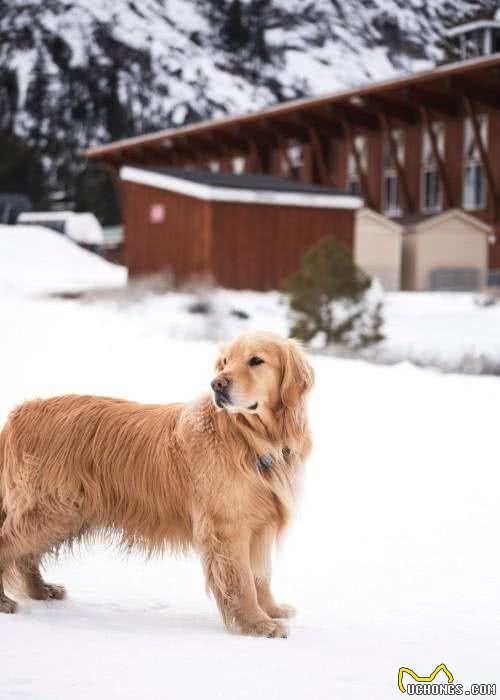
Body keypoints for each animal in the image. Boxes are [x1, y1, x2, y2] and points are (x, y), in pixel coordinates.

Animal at [0, 330, 312, 636]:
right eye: (225, 362)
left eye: (256, 360)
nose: (217, 384)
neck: (250, 439)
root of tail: (19, 413)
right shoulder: (228, 527)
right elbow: (243, 582)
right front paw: (257, 624)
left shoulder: (260, 524)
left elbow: (261, 576)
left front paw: (271, 610)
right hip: (53, 510)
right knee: (9, 545)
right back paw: (5, 600)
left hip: (65, 514)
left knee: (26, 556)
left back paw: (41, 590)